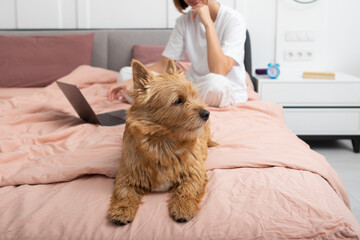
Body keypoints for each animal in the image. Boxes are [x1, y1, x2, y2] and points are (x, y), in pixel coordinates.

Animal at [107, 58, 217, 225]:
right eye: (178, 101)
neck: (163, 142)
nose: (207, 113)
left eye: (194, 95)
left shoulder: (194, 172)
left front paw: (183, 207)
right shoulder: (126, 175)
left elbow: (187, 189)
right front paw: (122, 210)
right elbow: (124, 192)